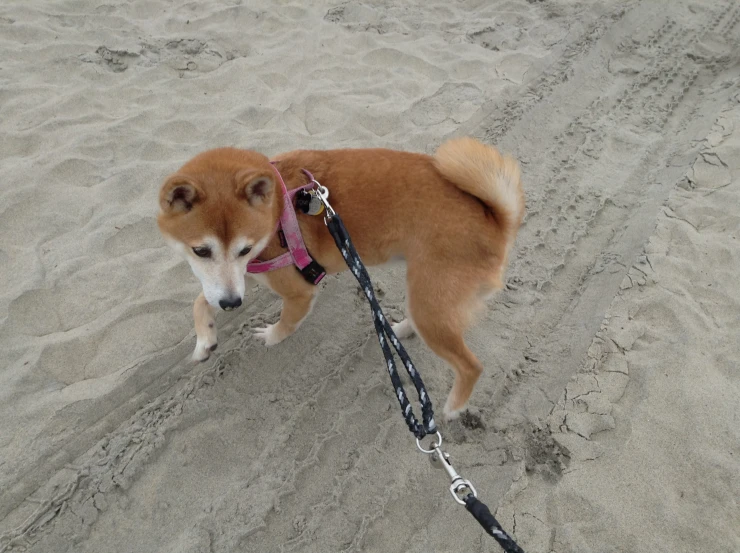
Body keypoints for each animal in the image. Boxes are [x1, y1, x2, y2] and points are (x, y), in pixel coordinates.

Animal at [158, 138, 524, 418]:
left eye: (245, 248)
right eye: (200, 251)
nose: (232, 305)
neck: (278, 211)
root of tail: (495, 220)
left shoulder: (296, 291)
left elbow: (285, 323)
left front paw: (270, 336)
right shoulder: (231, 281)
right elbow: (201, 301)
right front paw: (204, 340)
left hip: (431, 305)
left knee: (471, 366)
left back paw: (452, 408)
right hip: (426, 301)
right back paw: (400, 330)